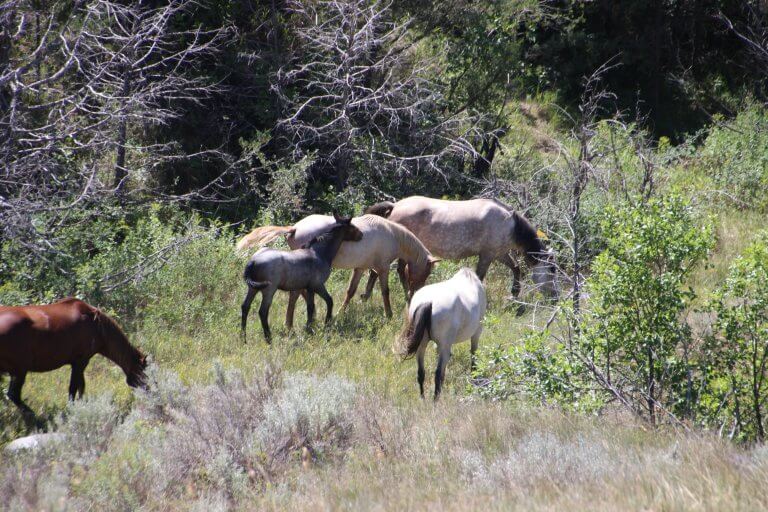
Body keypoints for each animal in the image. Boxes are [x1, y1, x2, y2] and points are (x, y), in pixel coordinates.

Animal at [0, 298, 147, 423]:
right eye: (144, 373)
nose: (149, 391)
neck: (97, 326)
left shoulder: (79, 363)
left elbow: (81, 386)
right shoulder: (80, 361)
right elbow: (74, 388)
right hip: (20, 370)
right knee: (14, 395)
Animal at [237, 214, 438, 321]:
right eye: (426, 273)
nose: (415, 293)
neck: (392, 234)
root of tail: (294, 227)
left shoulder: (360, 268)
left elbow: (351, 291)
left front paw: (341, 312)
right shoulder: (382, 269)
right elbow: (385, 291)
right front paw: (388, 315)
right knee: (299, 293)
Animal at [240, 213, 363, 343]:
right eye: (352, 226)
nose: (361, 235)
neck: (320, 253)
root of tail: (253, 261)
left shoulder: (309, 288)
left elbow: (310, 307)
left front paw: (309, 328)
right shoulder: (317, 285)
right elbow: (329, 301)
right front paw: (326, 323)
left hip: (253, 289)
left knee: (245, 307)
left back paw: (243, 337)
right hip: (269, 290)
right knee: (263, 312)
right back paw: (268, 338)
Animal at [365, 196, 559, 300]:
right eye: (552, 270)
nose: (555, 298)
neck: (509, 224)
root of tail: (395, 206)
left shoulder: (499, 253)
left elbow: (516, 268)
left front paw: (515, 293)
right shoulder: (487, 255)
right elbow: (480, 276)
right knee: (393, 271)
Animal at [396, 267, 486, 400]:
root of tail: (428, 302)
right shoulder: (476, 333)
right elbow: (473, 356)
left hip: (422, 344)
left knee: (421, 372)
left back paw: (423, 399)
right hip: (445, 345)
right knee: (437, 374)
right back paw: (435, 400)